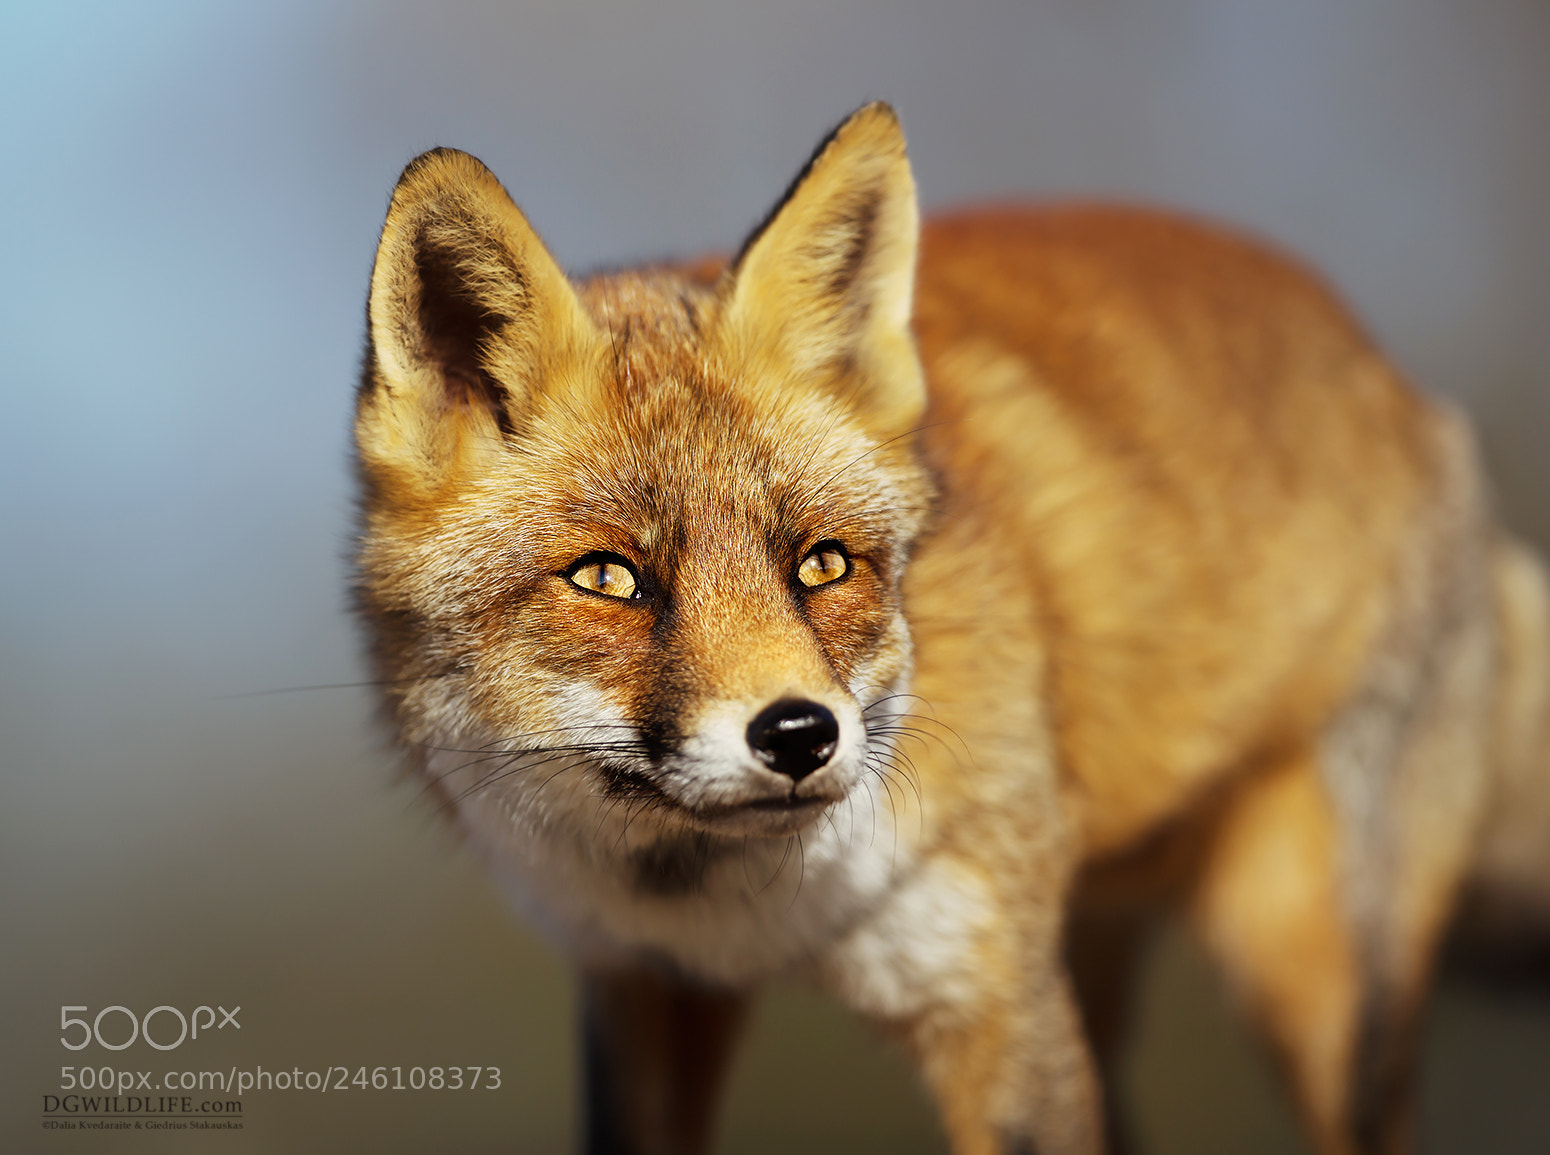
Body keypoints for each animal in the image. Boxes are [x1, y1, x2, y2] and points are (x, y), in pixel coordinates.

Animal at [352, 103, 1550, 1155]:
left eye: (823, 564)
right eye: (607, 578)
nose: (799, 735)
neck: (743, 911)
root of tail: (1395, 381)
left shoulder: (997, 1002)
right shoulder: (641, 991)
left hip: (1320, 984)